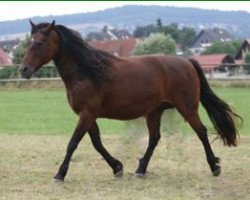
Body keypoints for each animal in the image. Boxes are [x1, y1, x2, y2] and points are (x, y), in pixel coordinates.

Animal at [20, 20, 242, 183]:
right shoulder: (89, 116)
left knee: (201, 132)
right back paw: (140, 169)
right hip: (154, 111)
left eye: (39, 43)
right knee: (154, 138)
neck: (88, 72)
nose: (24, 70)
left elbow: (73, 143)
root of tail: (186, 61)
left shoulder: (87, 114)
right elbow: (97, 143)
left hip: (187, 108)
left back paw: (214, 166)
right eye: (30, 42)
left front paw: (59, 174)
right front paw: (117, 167)